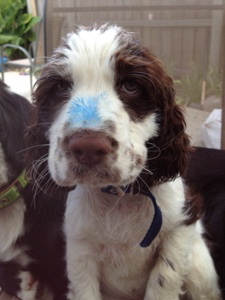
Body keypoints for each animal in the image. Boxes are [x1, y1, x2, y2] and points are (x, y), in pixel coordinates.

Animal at [25, 24, 221, 298]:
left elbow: (165, 280)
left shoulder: (181, 227)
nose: (88, 146)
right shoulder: (79, 247)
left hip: (199, 267)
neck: (120, 198)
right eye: (61, 88)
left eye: (130, 85)